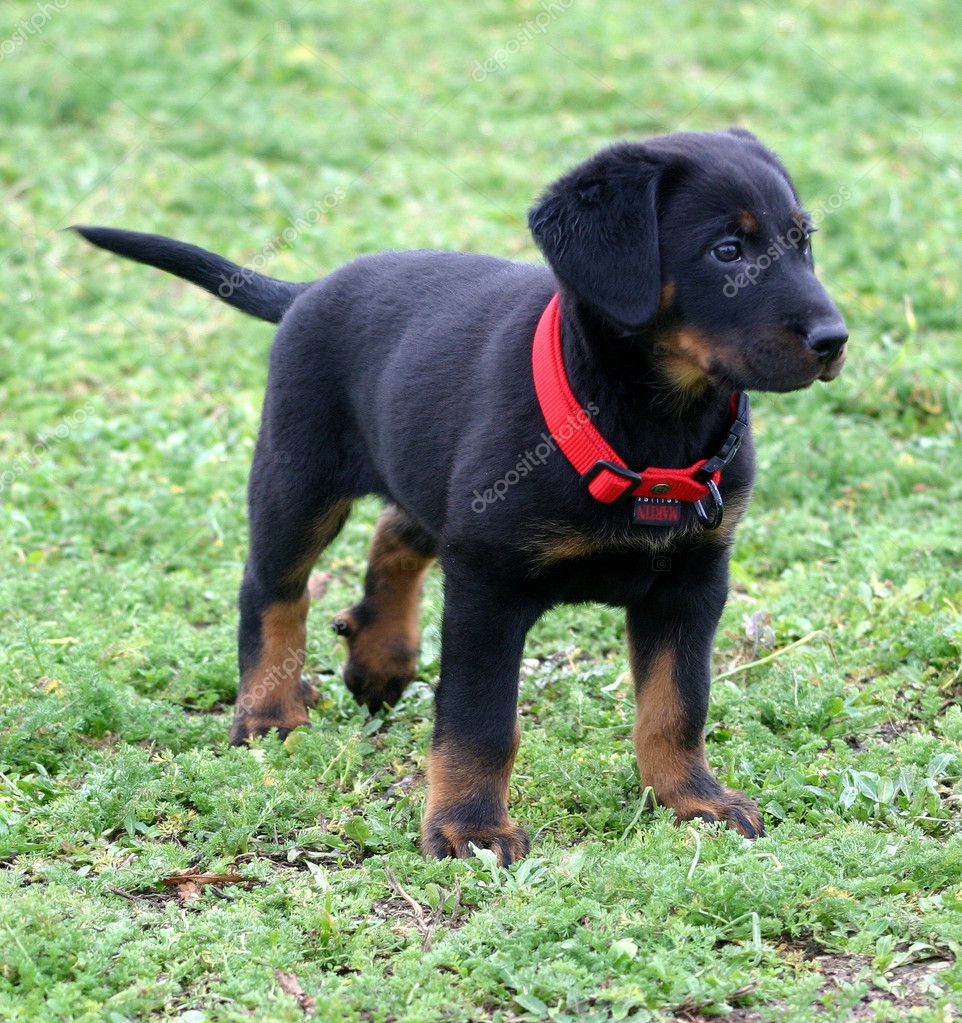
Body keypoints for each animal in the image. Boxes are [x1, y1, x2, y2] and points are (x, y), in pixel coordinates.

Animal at [75, 127, 847, 863]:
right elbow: (480, 722)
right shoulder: (487, 584)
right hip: (298, 478)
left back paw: (381, 653)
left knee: (395, 531)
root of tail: (309, 289)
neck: (650, 426)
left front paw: (693, 798)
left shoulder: (692, 581)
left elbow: (676, 705)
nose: (834, 339)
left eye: (803, 240)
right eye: (726, 251)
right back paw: (267, 711)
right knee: (272, 590)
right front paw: (469, 827)